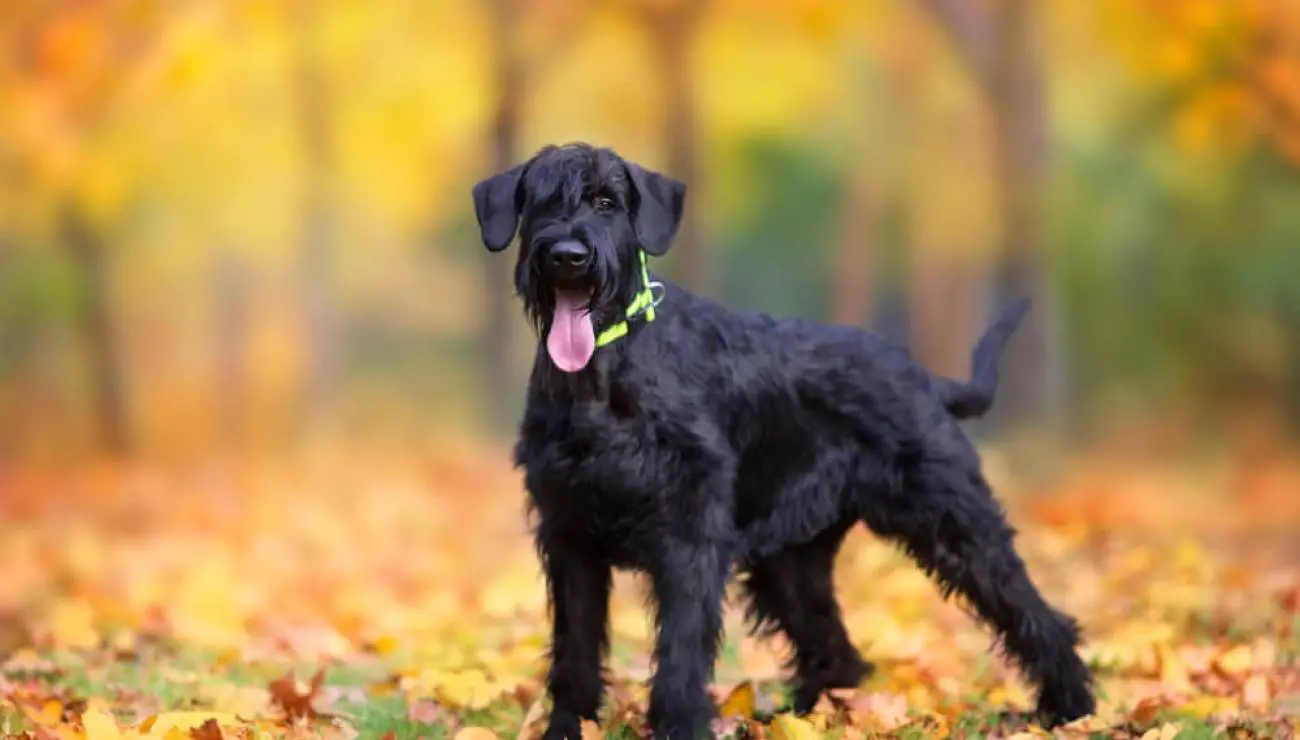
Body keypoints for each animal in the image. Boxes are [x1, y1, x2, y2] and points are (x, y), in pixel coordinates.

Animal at [473, 141, 1092, 733]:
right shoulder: (569, 536)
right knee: (835, 652)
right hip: (789, 562)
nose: (568, 257)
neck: (604, 375)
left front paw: (680, 725)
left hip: (955, 521)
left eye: (606, 202)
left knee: (1036, 614)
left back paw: (1071, 709)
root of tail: (924, 377)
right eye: (542, 202)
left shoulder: (689, 538)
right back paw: (804, 719)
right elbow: (574, 651)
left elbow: (681, 651)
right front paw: (566, 727)